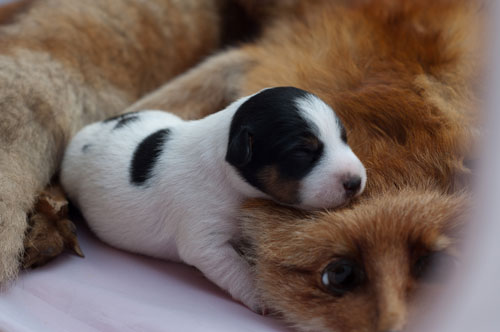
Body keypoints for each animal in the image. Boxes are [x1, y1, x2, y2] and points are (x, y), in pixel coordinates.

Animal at [60, 87, 368, 310]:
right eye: (303, 152)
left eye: (344, 138)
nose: (356, 182)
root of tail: (86, 133)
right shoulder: (204, 239)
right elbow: (235, 268)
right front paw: (261, 297)